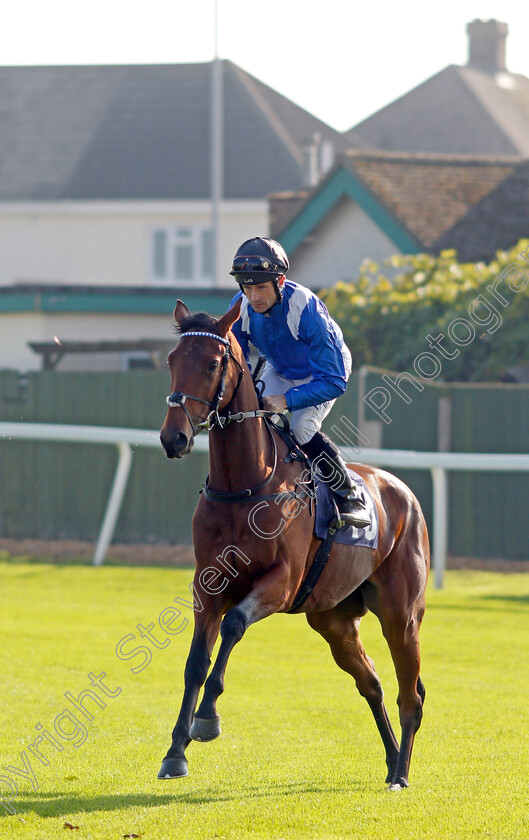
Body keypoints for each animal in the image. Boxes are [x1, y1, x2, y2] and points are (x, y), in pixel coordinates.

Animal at [158, 298, 428, 792]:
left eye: (212, 362)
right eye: (172, 360)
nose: (174, 437)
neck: (246, 485)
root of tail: (403, 491)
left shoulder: (281, 583)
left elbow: (234, 626)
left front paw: (207, 720)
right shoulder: (207, 585)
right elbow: (196, 661)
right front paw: (175, 752)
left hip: (401, 616)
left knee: (410, 693)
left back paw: (401, 773)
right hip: (334, 621)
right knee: (373, 683)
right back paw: (390, 760)